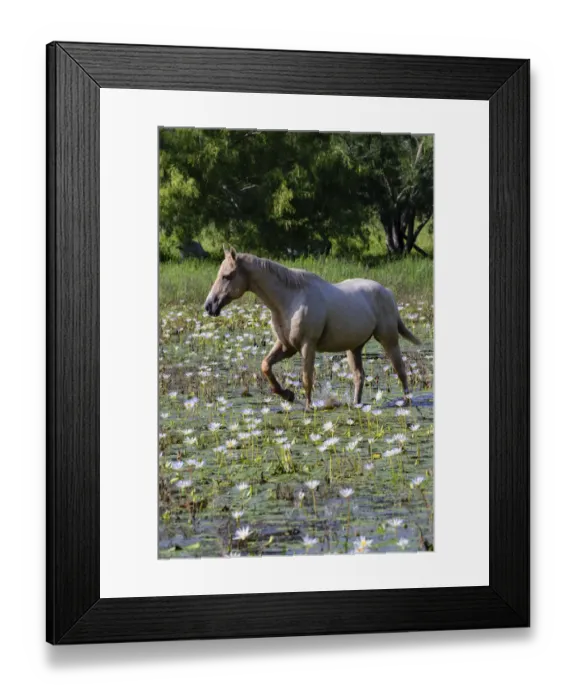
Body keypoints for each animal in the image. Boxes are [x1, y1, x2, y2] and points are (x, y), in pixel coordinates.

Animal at [204, 247, 421, 409]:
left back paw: (406, 401)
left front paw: (308, 407)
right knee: (359, 376)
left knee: (400, 370)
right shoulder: (286, 346)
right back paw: (356, 404)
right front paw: (287, 394)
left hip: (388, 339)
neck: (290, 300)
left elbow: (307, 378)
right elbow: (266, 366)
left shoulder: (307, 345)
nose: (209, 306)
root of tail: (387, 292)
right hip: (354, 347)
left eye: (227, 276)